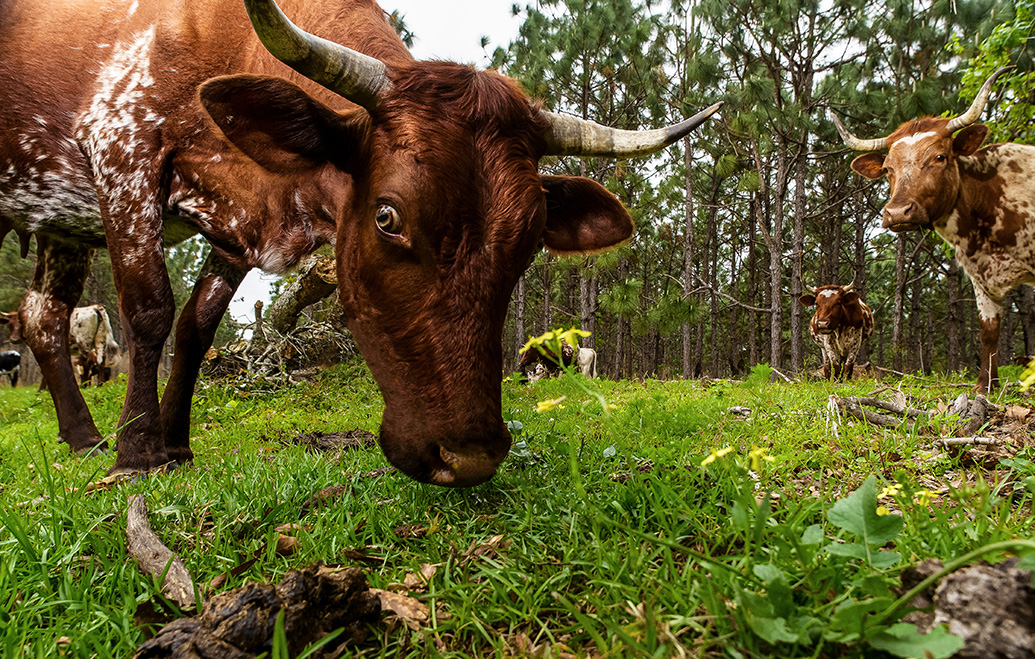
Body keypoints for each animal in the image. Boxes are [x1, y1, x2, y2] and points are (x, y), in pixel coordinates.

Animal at [0, 0, 720, 484]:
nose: (469, 457)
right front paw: (140, 451)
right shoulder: (122, 157)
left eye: (528, 240)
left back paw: (82, 437)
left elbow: (197, 326)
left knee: (41, 317)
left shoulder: (233, 230)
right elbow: (150, 308)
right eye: (387, 217)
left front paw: (175, 443)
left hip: (60, 224)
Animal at [836, 68, 1030, 393]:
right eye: (887, 168)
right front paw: (984, 387)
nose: (897, 212)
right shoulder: (980, 277)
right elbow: (988, 330)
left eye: (939, 157)